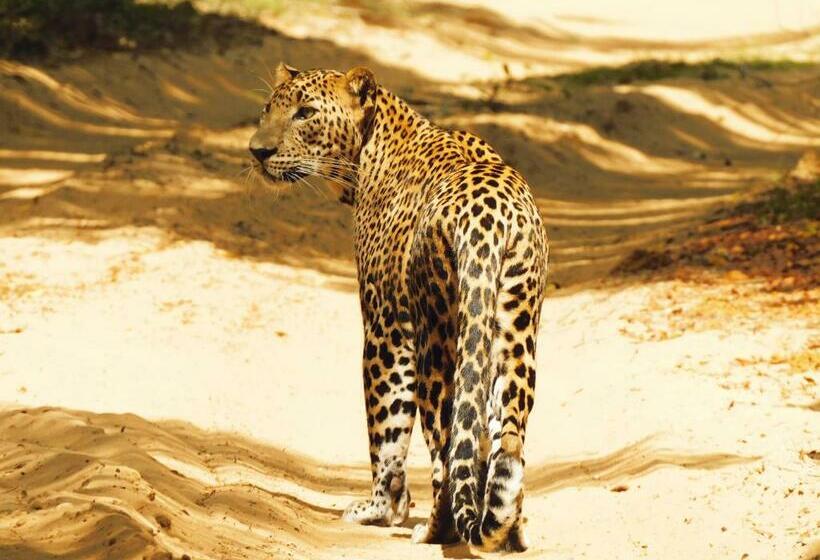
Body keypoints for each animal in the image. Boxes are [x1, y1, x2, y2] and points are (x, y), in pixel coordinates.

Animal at [248, 63, 548, 553]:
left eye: (304, 113)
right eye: (265, 110)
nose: (257, 151)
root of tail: (489, 218)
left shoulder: (385, 327)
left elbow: (385, 425)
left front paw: (382, 508)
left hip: (435, 339)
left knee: (444, 442)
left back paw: (435, 530)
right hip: (513, 331)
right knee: (508, 435)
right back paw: (511, 529)